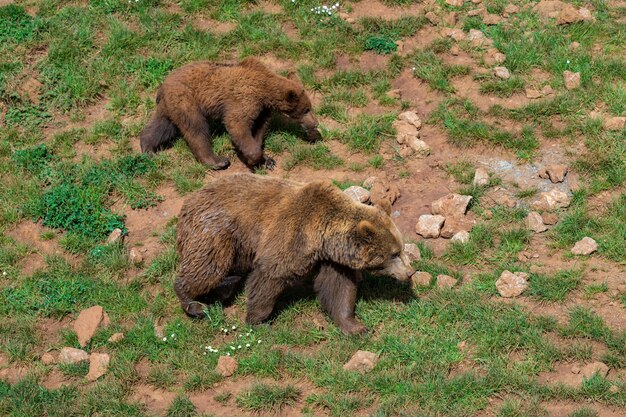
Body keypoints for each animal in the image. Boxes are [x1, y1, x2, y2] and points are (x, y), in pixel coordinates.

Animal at [139, 57, 320, 170]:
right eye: (306, 109)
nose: (316, 123)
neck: (264, 91)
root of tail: (163, 84)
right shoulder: (244, 100)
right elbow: (237, 124)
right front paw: (254, 159)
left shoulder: (262, 109)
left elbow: (258, 130)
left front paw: (266, 161)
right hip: (187, 100)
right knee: (196, 129)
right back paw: (217, 161)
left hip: (169, 106)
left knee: (162, 127)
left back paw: (148, 149)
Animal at [173, 172, 414, 334]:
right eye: (393, 254)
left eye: (401, 248)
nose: (410, 272)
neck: (323, 238)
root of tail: (189, 201)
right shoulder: (293, 234)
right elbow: (270, 274)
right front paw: (257, 319)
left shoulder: (332, 260)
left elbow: (339, 289)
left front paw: (356, 327)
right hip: (218, 231)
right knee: (208, 267)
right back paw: (195, 304)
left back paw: (226, 288)